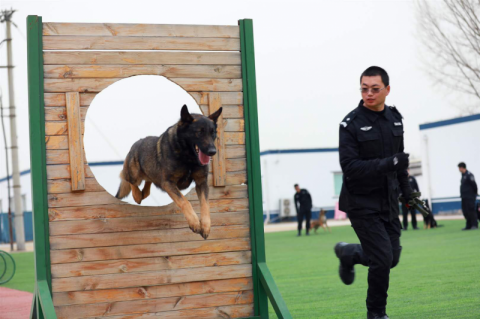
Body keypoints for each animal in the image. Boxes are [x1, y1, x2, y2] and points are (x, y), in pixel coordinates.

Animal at [116, 105, 223, 240]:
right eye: (199, 132)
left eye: (212, 133)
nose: (212, 152)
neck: (188, 158)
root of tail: (135, 144)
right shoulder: (169, 183)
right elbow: (185, 201)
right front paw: (194, 222)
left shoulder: (201, 183)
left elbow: (205, 204)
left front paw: (205, 226)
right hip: (134, 173)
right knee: (130, 180)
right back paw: (137, 195)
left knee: (148, 183)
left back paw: (143, 192)